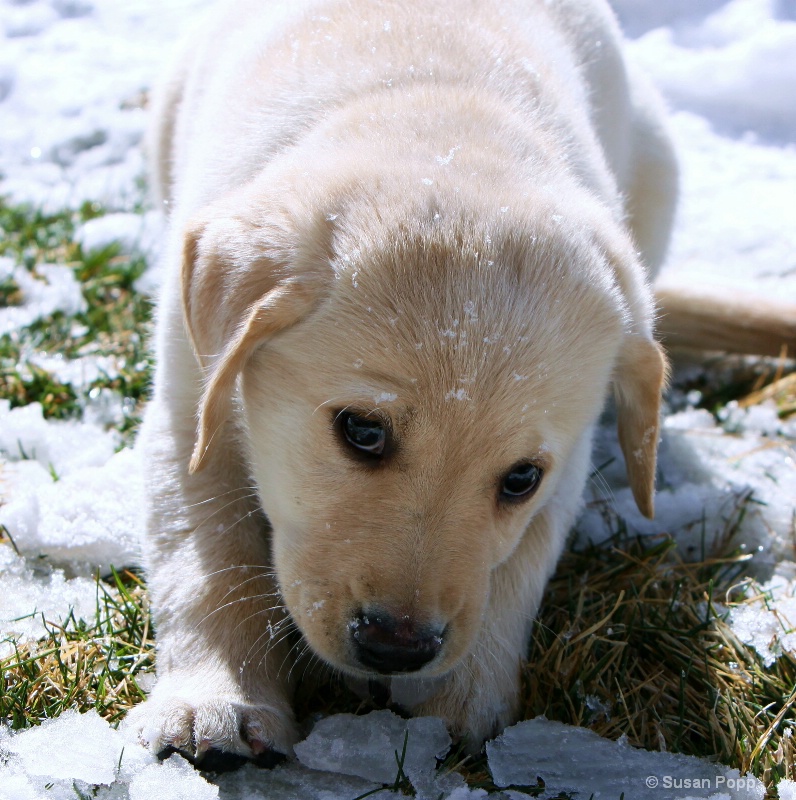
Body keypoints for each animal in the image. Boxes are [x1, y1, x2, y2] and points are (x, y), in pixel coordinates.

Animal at [131, 0, 676, 764]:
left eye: (520, 479)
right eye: (362, 430)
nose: (397, 648)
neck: (436, 119)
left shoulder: (564, 473)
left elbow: (518, 566)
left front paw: (459, 704)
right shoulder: (188, 405)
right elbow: (207, 560)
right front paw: (217, 703)